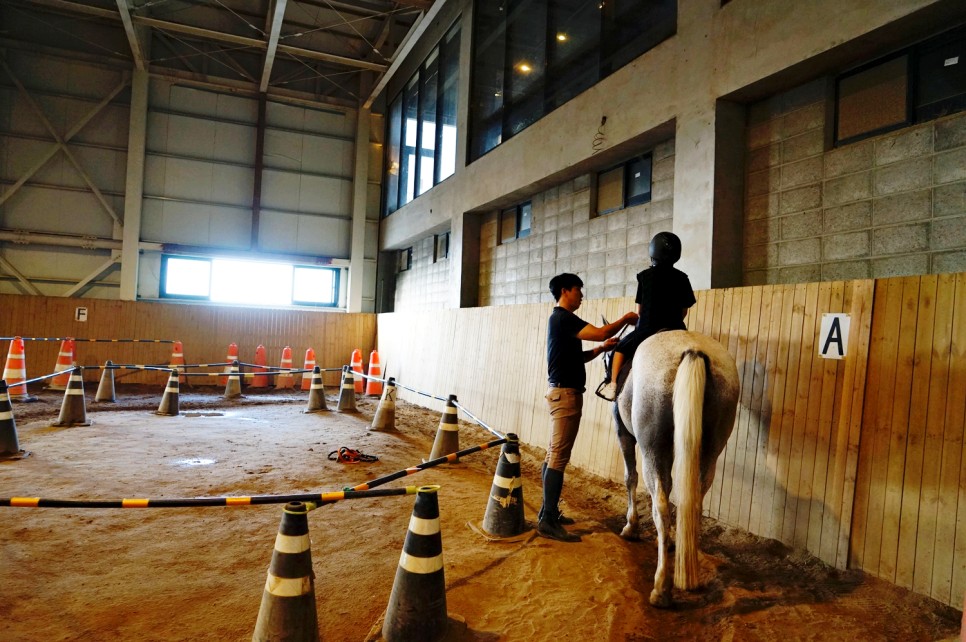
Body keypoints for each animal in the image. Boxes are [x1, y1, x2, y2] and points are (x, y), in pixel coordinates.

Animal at [612, 330, 740, 604]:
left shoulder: (623, 433)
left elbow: (630, 477)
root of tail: (693, 350)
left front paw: (631, 527)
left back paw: (661, 588)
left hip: (652, 449)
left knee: (659, 504)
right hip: (710, 450)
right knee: (693, 502)